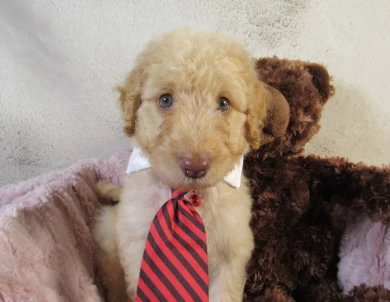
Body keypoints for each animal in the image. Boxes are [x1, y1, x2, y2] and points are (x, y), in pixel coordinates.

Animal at [93, 28, 284, 302]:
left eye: (224, 103)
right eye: (165, 100)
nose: (195, 167)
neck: (187, 195)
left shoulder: (232, 251)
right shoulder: (136, 242)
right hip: (108, 232)